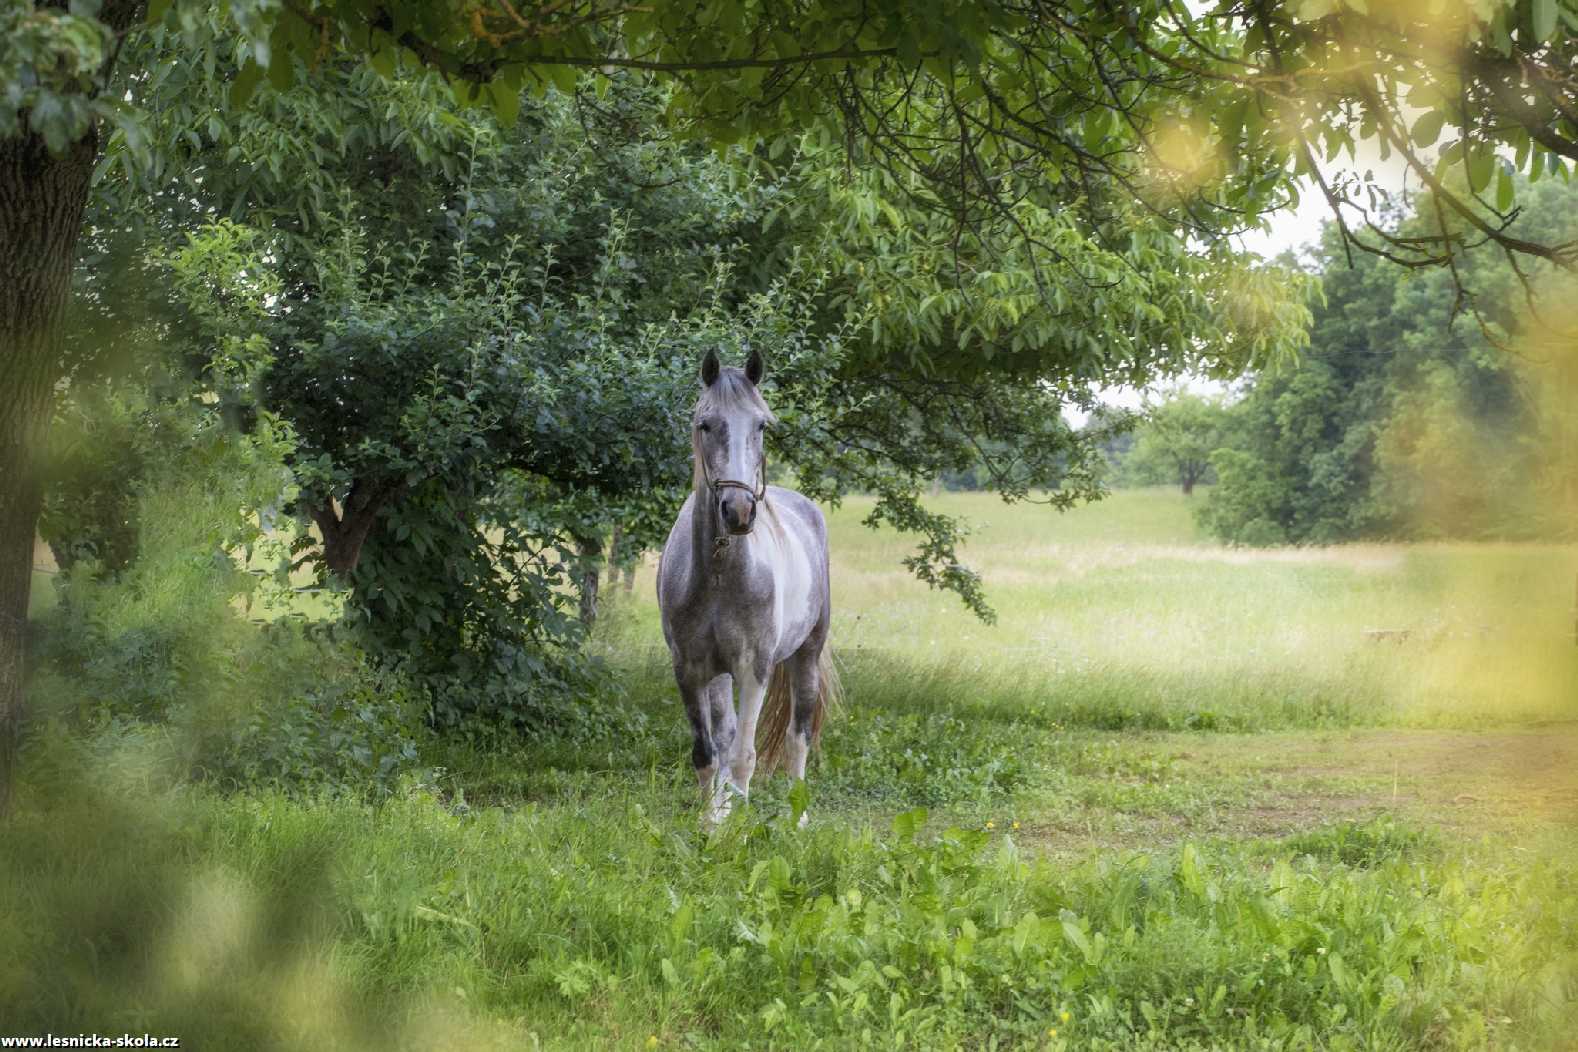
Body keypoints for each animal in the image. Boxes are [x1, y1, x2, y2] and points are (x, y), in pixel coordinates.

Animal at [656, 350, 839, 826]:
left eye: (761, 425)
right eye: (705, 424)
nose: (738, 511)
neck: (720, 573)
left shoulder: (753, 668)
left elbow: (745, 758)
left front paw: (737, 831)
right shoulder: (690, 670)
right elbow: (708, 754)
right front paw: (710, 825)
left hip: (806, 656)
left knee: (797, 737)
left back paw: (798, 818)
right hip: (718, 676)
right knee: (725, 737)